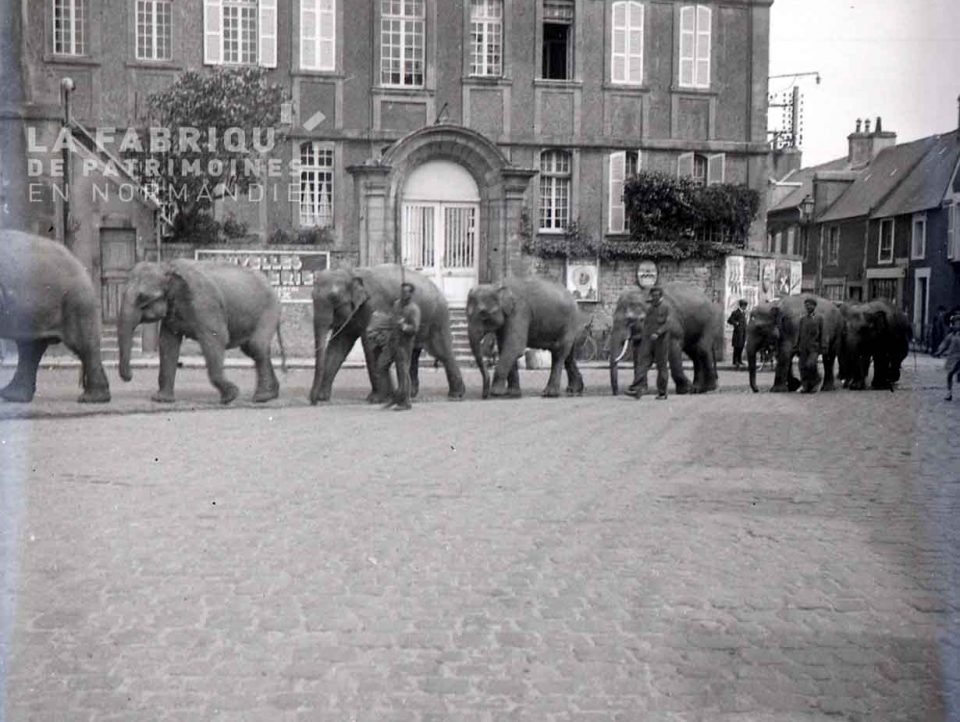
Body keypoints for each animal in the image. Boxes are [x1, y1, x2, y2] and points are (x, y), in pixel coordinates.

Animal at [117, 258, 284, 404]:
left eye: (143, 299)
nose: (130, 377)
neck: (166, 266)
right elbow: (167, 343)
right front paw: (161, 400)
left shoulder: (205, 303)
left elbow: (216, 338)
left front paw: (231, 396)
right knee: (252, 349)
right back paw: (271, 395)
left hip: (269, 310)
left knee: (256, 347)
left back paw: (261, 398)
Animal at [310, 262, 464, 402]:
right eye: (311, 297)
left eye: (334, 298)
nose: (312, 401)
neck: (351, 272)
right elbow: (338, 346)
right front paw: (323, 398)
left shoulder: (374, 305)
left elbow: (370, 344)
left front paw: (376, 399)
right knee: (413, 355)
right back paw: (409, 395)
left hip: (437, 318)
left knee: (442, 352)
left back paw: (455, 395)